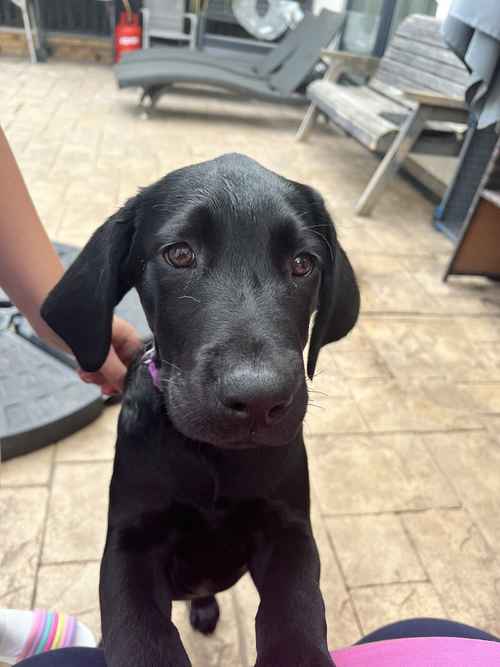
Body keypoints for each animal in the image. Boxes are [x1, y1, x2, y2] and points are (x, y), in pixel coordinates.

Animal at [41, 154, 358, 664]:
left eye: (303, 263)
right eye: (179, 254)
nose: (258, 399)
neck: (212, 459)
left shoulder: (289, 529)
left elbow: (297, 606)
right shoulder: (130, 542)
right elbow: (139, 633)